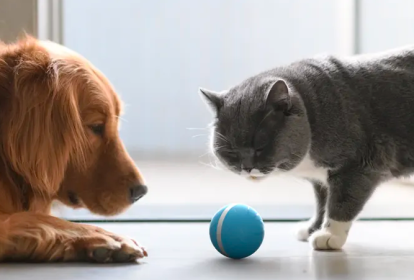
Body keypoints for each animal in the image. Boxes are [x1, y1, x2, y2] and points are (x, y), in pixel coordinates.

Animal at [198, 47, 414, 250]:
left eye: (260, 146)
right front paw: (312, 228)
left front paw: (329, 235)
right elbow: (322, 203)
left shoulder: (359, 164)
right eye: (231, 152)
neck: (314, 113)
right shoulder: (321, 179)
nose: (247, 167)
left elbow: (341, 201)